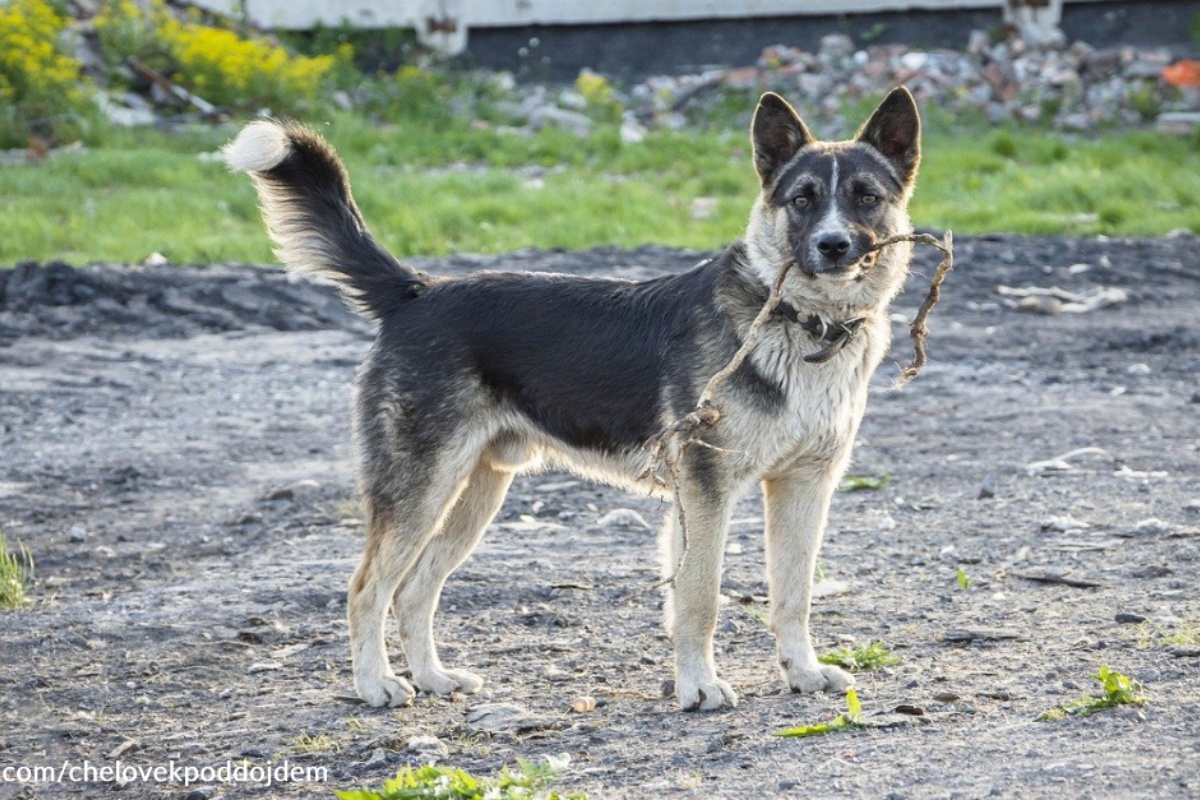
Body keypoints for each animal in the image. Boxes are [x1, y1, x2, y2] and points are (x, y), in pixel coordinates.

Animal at [223, 89, 916, 714]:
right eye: (802, 200)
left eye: (866, 197)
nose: (833, 246)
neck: (803, 325)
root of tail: (418, 292)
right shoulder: (704, 494)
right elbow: (699, 598)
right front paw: (698, 687)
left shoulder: (805, 488)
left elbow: (793, 594)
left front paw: (802, 672)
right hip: (420, 490)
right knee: (367, 589)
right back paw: (376, 686)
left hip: (476, 493)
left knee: (415, 591)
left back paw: (434, 678)